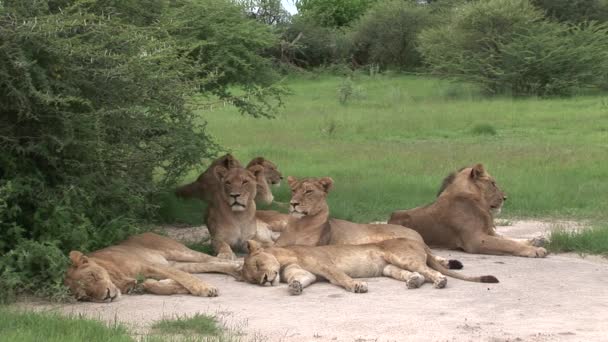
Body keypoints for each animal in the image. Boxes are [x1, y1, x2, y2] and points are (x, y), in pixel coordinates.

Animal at [63, 232, 240, 302]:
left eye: (93, 276)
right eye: (85, 296)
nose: (107, 296)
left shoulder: (151, 265)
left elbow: (184, 278)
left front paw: (205, 289)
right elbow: (156, 285)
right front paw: (167, 285)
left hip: (177, 251)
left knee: (211, 258)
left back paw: (238, 265)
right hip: (179, 262)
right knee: (209, 264)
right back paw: (236, 270)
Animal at [274, 176, 464, 270]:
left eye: (308, 191)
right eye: (293, 190)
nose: (293, 203)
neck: (299, 224)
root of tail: (416, 233)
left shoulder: (312, 247)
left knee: (431, 256)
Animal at [388, 164, 548, 258]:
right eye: (493, 183)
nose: (505, 198)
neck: (477, 200)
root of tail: (390, 219)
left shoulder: (488, 231)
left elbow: (508, 238)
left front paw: (535, 241)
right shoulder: (475, 240)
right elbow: (506, 244)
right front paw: (535, 250)